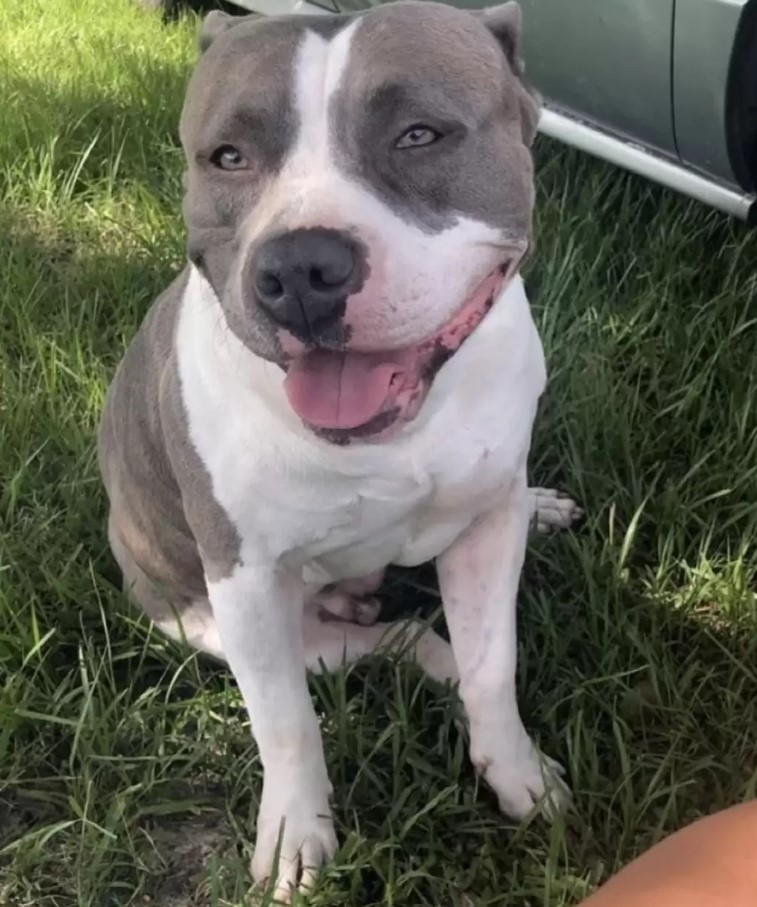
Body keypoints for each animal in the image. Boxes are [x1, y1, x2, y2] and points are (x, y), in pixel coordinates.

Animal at [99, 3, 580, 900]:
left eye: (419, 134)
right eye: (228, 155)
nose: (299, 268)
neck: (396, 432)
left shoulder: (486, 531)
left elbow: (494, 664)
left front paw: (518, 774)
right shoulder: (246, 583)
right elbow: (286, 724)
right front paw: (297, 835)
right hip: (219, 623)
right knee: (392, 642)